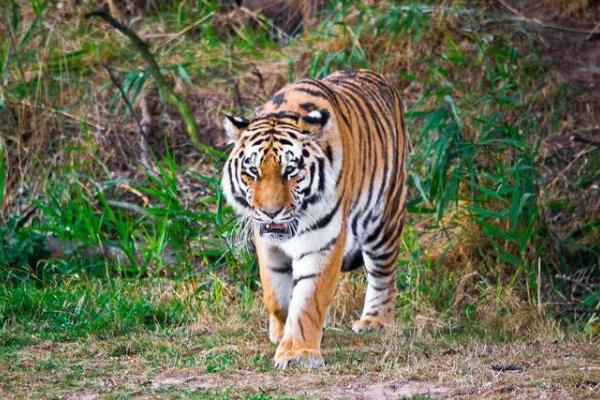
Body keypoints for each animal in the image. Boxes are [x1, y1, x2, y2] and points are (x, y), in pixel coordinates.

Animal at [223, 69, 410, 368]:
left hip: (385, 219)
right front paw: (280, 330)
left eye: (290, 170)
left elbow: (309, 300)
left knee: (383, 275)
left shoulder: (323, 242)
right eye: (252, 171)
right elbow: (275, 293)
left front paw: (298, 352)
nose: (271, 212)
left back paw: (375, 321)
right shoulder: (266, 242)